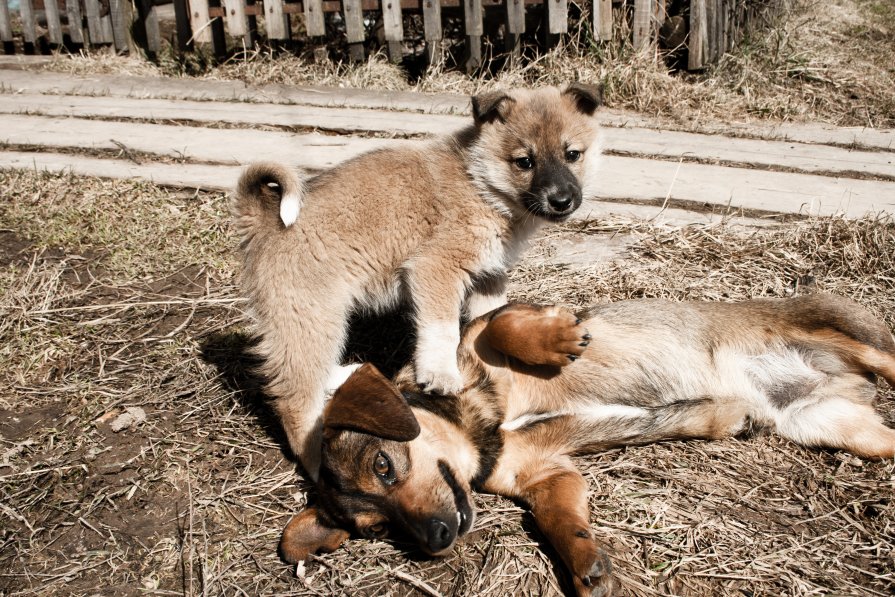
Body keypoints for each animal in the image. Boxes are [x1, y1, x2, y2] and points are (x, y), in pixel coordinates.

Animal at [234, 82, 604, 474]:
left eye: (572, 154)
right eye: (524, 162)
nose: (562, 200)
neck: (480, 185)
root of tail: (262, 220)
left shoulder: (488, 276)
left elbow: (490, 319)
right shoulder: (436, 268)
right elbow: (442, 330)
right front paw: (441, 375)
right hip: (310, 317)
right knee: (295, 397)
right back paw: (317, 459)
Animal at [276, 294, 892, 596]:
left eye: (384, 465)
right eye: (379, 528)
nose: (435, 540)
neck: (486, 429)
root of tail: (846, 382)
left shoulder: (488, 328)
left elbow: (504, 327)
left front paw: (560, 339)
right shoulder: (551, 477)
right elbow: (559, 523)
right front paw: (586, 565)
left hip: (860, 349)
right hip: (844, 429)